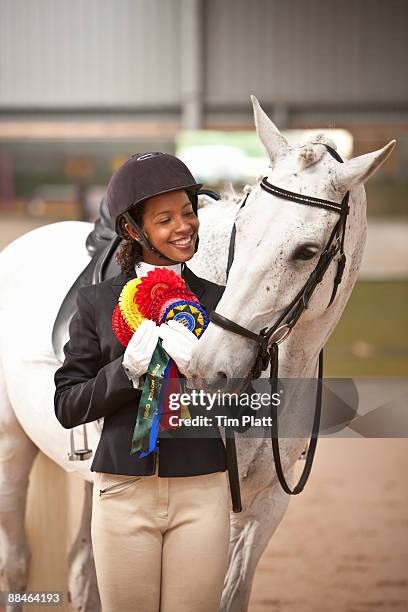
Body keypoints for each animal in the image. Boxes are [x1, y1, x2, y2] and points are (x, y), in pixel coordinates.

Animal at [0, 97, 396, 612]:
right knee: (17, 562)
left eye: (307, 251)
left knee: (83, 570)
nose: (210, 369)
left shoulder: (266, 506)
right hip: (11, 450)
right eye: (242, 226)